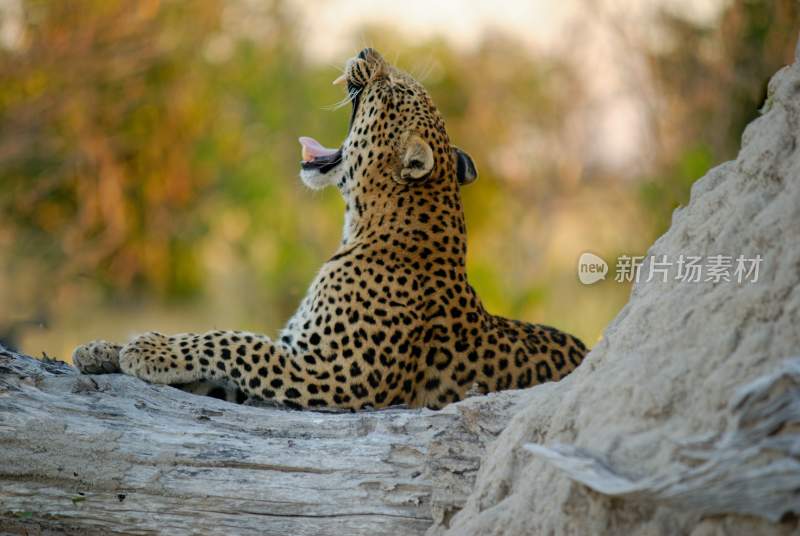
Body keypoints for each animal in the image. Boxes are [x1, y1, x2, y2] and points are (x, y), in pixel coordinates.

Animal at [73, 50, 588, 410]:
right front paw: (102, 348)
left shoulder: (333, 376)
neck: (363, 224)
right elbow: (219, 361)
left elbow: (236, 341)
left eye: (394, 88)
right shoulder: (291, 355)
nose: (365, 49)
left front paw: (147, 347)